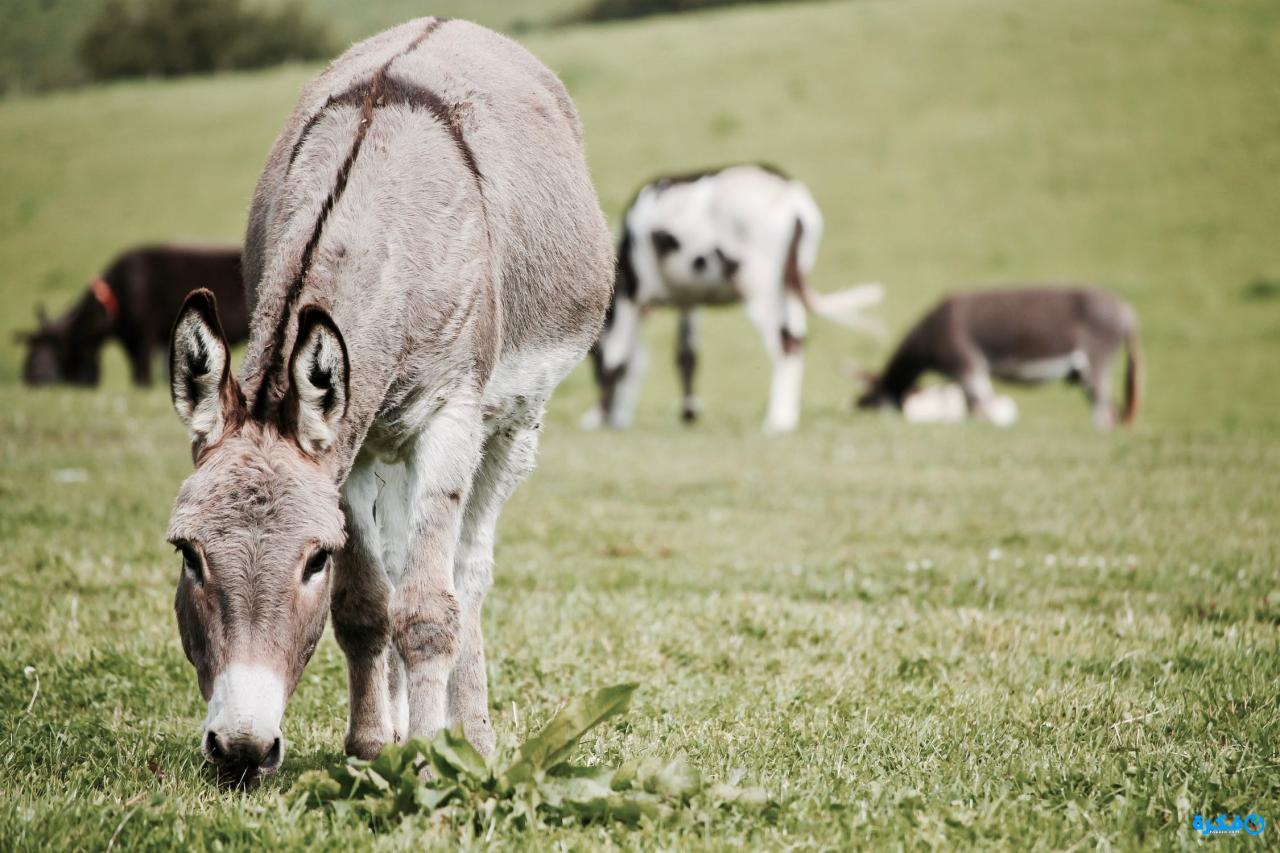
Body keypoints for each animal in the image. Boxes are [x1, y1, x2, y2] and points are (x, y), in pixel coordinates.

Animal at [586, 163, 880, 435]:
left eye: (592, 358)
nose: (616, 418)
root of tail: (788, 195)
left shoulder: (632, 293)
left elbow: (617, 359)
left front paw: (597, 416)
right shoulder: (689, 299)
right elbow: (686, 356)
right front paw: (688, 412)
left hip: (758, 288)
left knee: (784, 344)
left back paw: (778, 420)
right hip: (788, 286)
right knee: (796, 339)